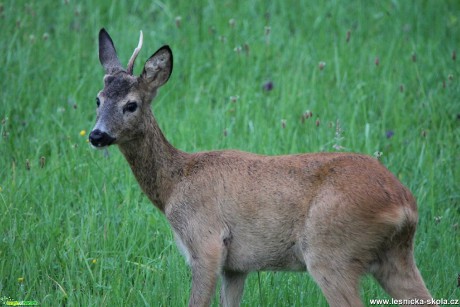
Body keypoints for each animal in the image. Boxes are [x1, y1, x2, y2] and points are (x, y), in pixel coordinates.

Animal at [89, 27, 434, 306]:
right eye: (98, 99)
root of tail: (404, 203)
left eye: (131, 104)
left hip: (332, 253)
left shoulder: (206, 241)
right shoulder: (236, 266)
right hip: (395, 256)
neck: (174, 183)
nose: (96, 135)